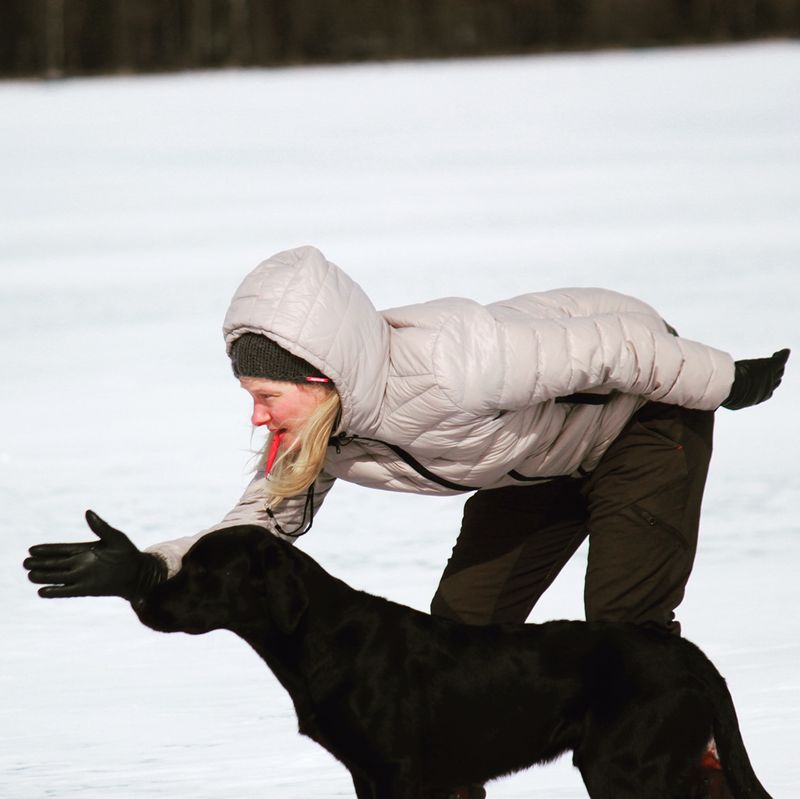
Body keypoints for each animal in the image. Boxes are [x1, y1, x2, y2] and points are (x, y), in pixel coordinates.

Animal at [130, 520, 768, 799]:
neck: (320, 637)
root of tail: (688, 654)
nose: (142, 599)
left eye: (205, 570)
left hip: (624, 768)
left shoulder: (400, 773)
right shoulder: (367, 775)